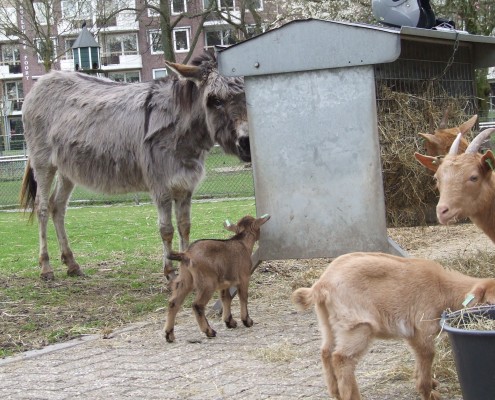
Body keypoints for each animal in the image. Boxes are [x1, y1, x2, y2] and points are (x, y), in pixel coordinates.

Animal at [165, 214, 270, 342]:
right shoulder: (244, 277)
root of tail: (186, 254)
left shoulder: (225, 283)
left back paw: (169, 335)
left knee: (173, 302)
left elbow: (226, 298)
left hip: (186, 279)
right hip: (207, 283)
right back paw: (209, 331)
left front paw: (230, 322)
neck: (242, 242)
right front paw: (247, 321)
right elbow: (243, 297)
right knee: (197, 305)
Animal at [290, 253, 495, 400]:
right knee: (342, 358)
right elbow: (427, 356)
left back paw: (335, 391)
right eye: (489, 302)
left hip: (328, 322)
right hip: (358, 327)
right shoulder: (422, 331)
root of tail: (322, 284)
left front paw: (430, 383)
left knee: (326, 352)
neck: (443, 288)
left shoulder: (413, 336)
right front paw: (428, 392)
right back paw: (352, 395)